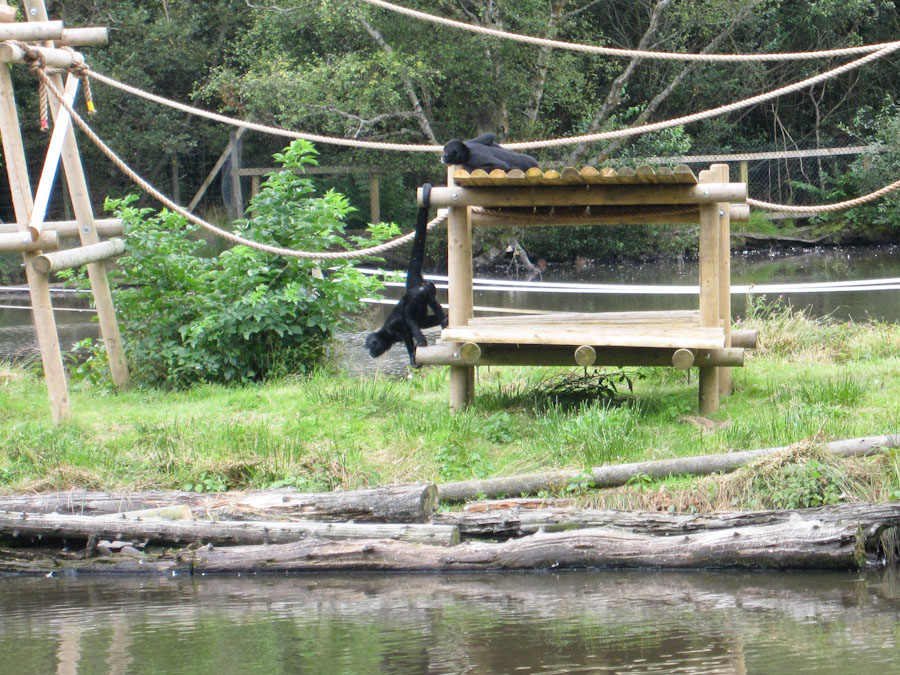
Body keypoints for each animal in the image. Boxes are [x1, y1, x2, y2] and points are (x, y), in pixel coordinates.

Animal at [365, 183, 447, 367]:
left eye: (370, 347)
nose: (370, 353)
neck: (385, 333)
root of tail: (412, 286)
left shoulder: (396, 328)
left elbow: (406, 329)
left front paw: (413, 356)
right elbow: (425, 321)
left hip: (416, 296)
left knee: (409, 317)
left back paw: (422, 341)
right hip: (427, 289)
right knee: (431, 303)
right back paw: (445, 322)